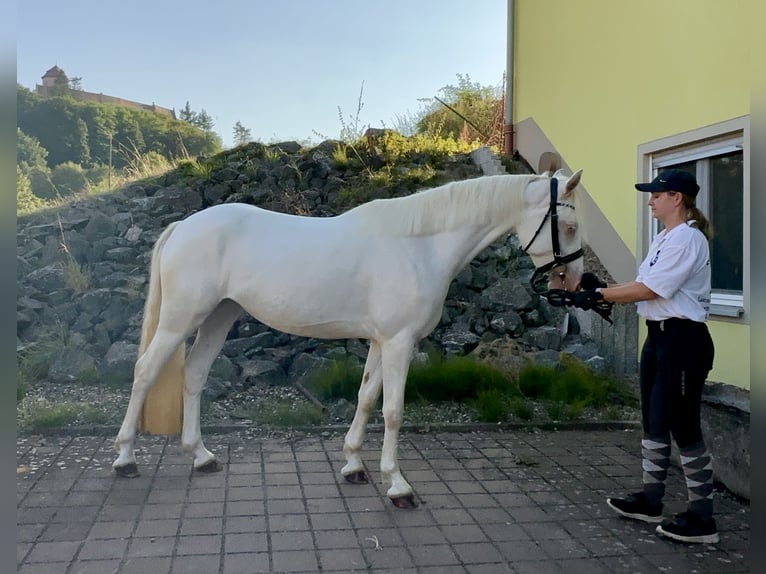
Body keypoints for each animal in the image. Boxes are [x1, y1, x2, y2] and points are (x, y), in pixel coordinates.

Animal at [113, 169, 584, 508]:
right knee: (145, 371)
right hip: (181, 318)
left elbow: (366, 398)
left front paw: (354, 464)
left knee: (194, 375)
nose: (574, 283)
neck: (420, 247)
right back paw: (125, 459)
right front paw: (397, 485)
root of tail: (182, 226)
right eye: (570, 225)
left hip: (218, 316)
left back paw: (202, 456)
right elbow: (393, 411)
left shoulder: (380, 341)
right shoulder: (399, 343)